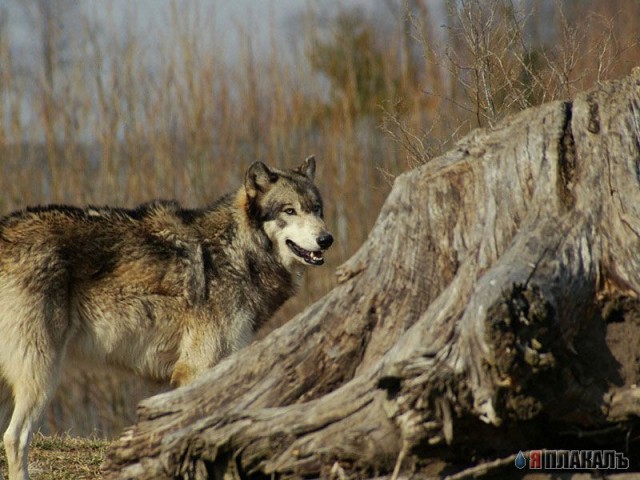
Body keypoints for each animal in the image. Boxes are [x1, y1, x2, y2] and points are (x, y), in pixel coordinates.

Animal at [0, 156, 332, 478]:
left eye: (316, 209)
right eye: (290, 210)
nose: (326, 239)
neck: (237, 254)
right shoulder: (198, 370)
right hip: (43, 375)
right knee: (15, 437)